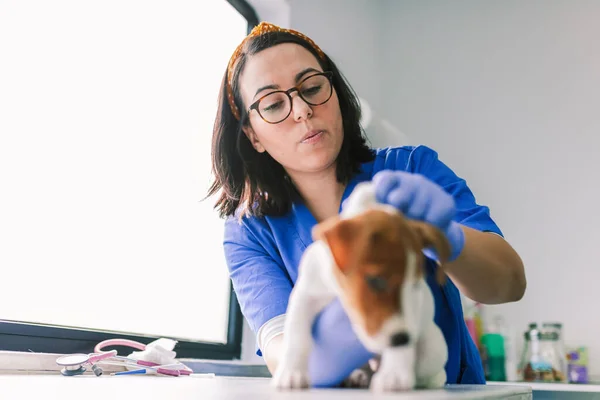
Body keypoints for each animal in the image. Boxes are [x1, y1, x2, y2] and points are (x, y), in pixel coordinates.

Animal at [272, 182, 450, 394]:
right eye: (376, 281)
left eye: (414, 284)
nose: (402, 339)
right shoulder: (306, 295)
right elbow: (297, 335)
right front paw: (291, 372)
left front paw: (394, 375)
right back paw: (357, 376)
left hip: (433, 348)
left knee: (434, 373)